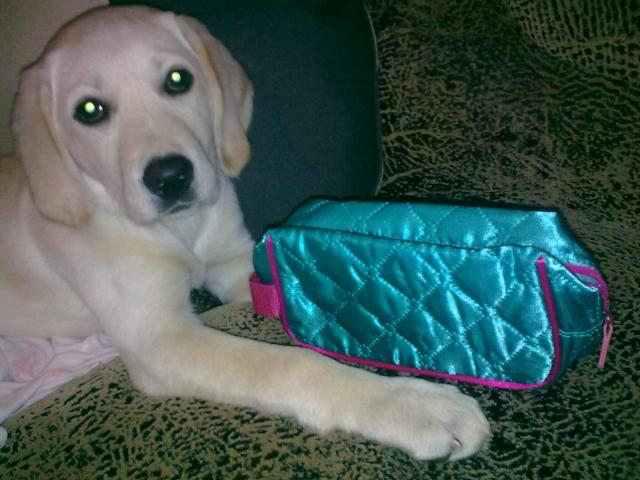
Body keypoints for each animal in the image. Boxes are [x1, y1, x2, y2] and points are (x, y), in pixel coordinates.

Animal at [0, 6, 489, 460]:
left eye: (178, 80)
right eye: (89, 110)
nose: (170, 178)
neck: (182, 229)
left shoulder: (235, 264)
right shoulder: (158, 337)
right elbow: (289, 365)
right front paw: (408, 404)